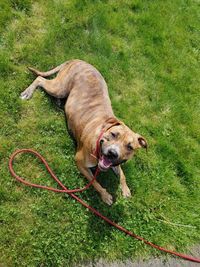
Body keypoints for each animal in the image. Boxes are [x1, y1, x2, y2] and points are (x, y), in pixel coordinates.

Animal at [19, 60, 147, 205]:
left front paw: (125, 189)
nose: (113, 153)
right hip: (59, 88)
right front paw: (105, 195)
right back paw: (28, 92)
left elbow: (122, 174)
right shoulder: (80, 162)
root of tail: (77, 60)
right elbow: (95, 182)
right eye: (113, 134)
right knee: (40, 79)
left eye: (130, 147)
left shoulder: (115, 163)